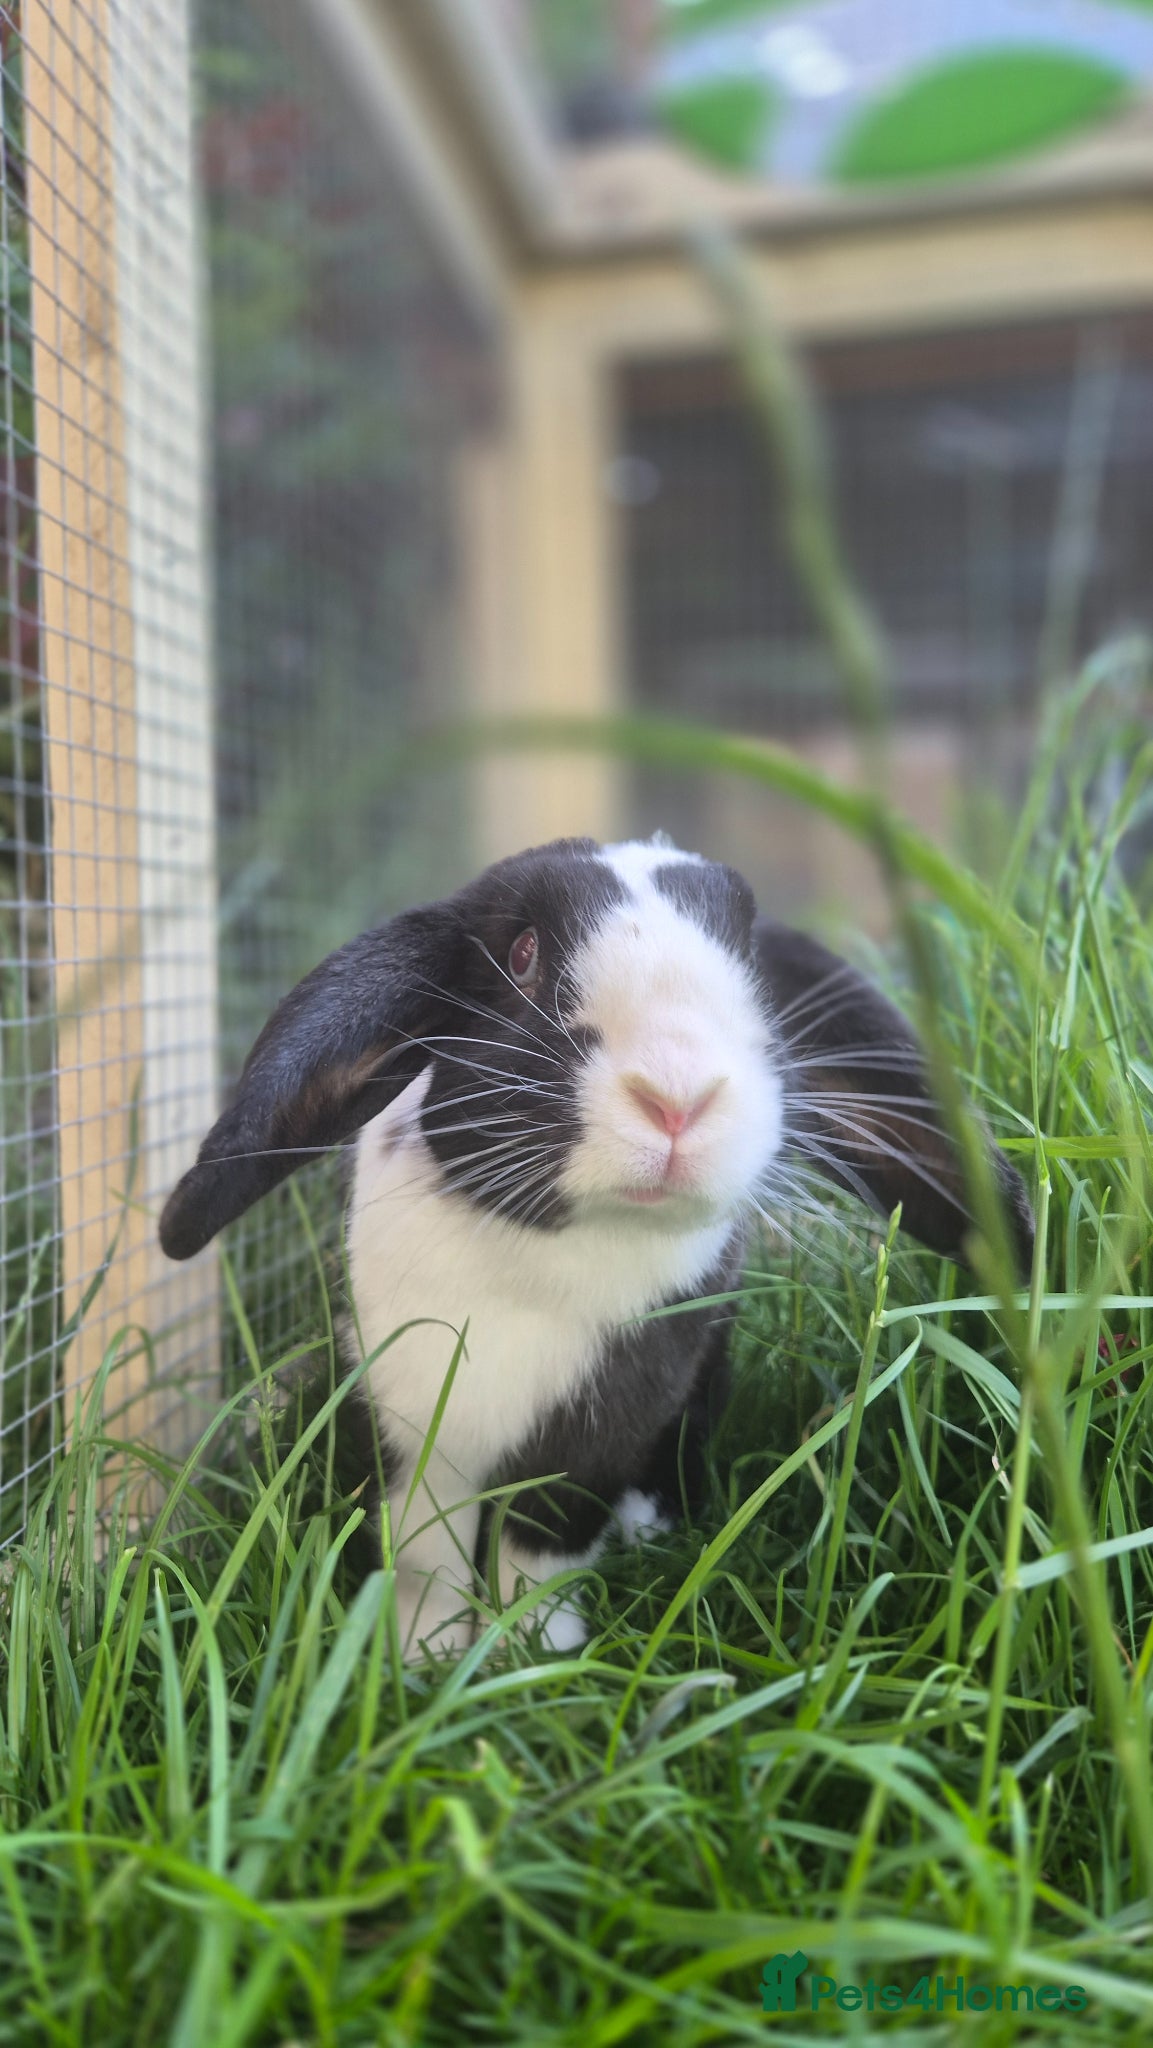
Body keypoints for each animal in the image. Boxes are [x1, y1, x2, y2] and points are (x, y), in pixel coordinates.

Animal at [160, 834, 1033, 1658]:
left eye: (750, 966)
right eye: (521, 955)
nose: (678, 1095)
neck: (551, 1256)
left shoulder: (601, 1433)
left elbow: (540, 1543)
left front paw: (531, 1655)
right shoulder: (408, 1428)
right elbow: (423, 1556)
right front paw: (420, 1662)